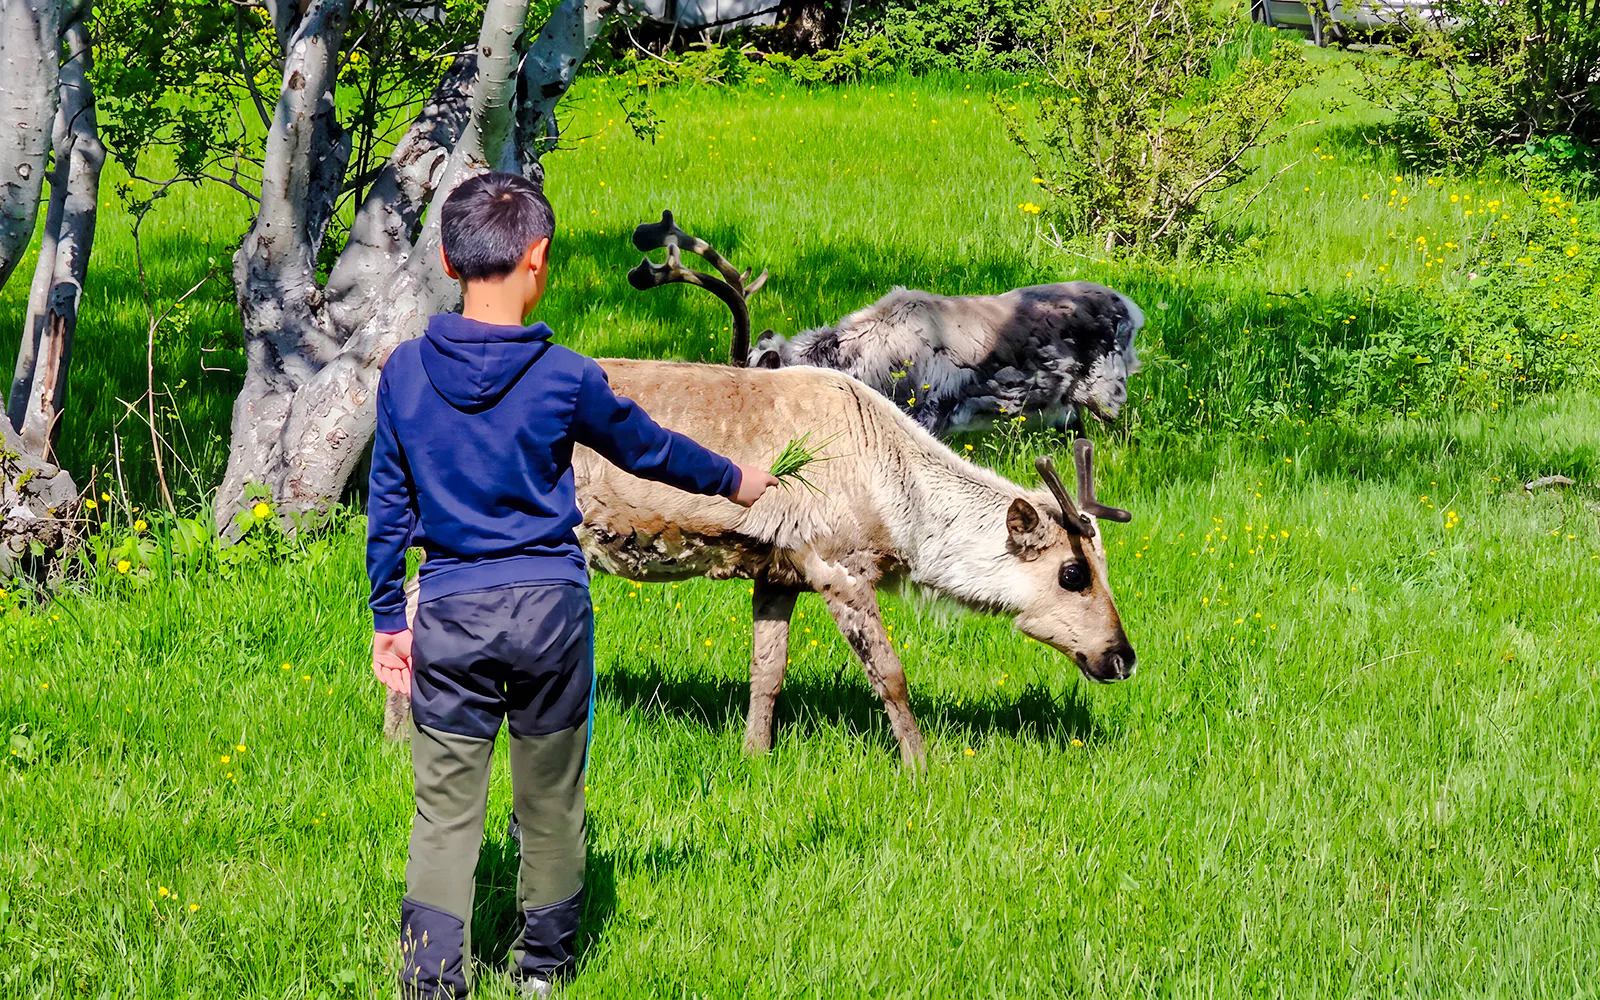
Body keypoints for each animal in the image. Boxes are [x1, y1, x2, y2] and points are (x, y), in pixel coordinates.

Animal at [384, 360, 1136, 767]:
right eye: (1073, 573)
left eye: (1102, 566)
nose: (1122, 656)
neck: (901, 507)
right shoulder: (839, 565)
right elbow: (891, 677)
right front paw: (924, 767)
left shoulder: (777, 575)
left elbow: (766, 674)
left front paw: (754, 754)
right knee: (411, 608)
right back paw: (397, 737)